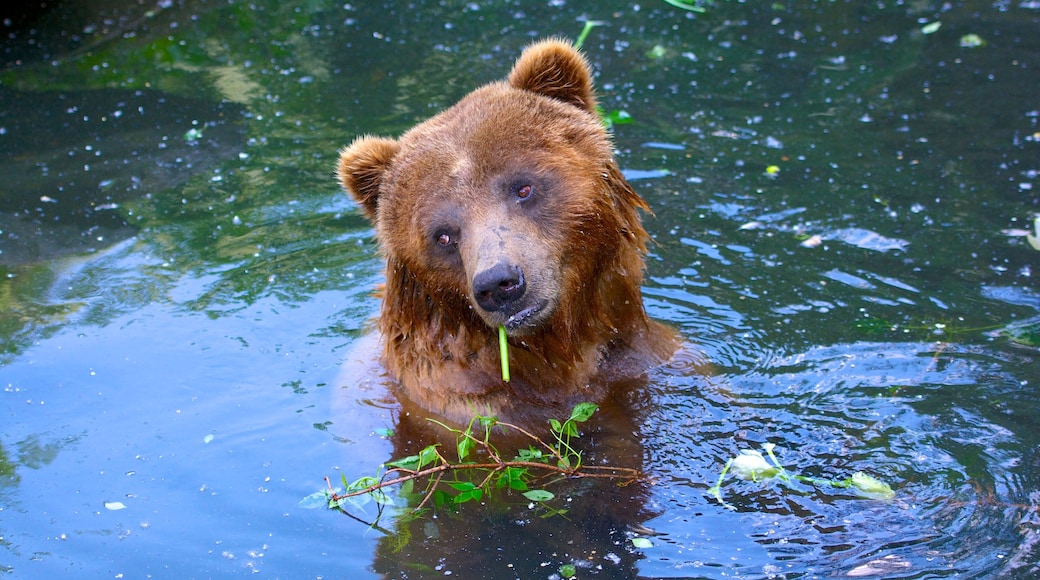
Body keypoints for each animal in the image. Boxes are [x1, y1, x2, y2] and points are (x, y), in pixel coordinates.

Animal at [336, 36, 678, 428]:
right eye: (443, 235)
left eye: (523, 188)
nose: (499, 284)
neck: (561, 352)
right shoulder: (470, 404)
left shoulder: (638, 361)